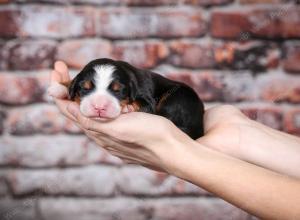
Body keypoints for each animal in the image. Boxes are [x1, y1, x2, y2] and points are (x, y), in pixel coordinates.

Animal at [48, 57, 204, 138]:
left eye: (118, 91)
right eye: (85, 88)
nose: (99, 107)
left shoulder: (147, 99)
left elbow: (143, 104)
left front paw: (128, 107)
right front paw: (59, 87)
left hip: (178, 98)